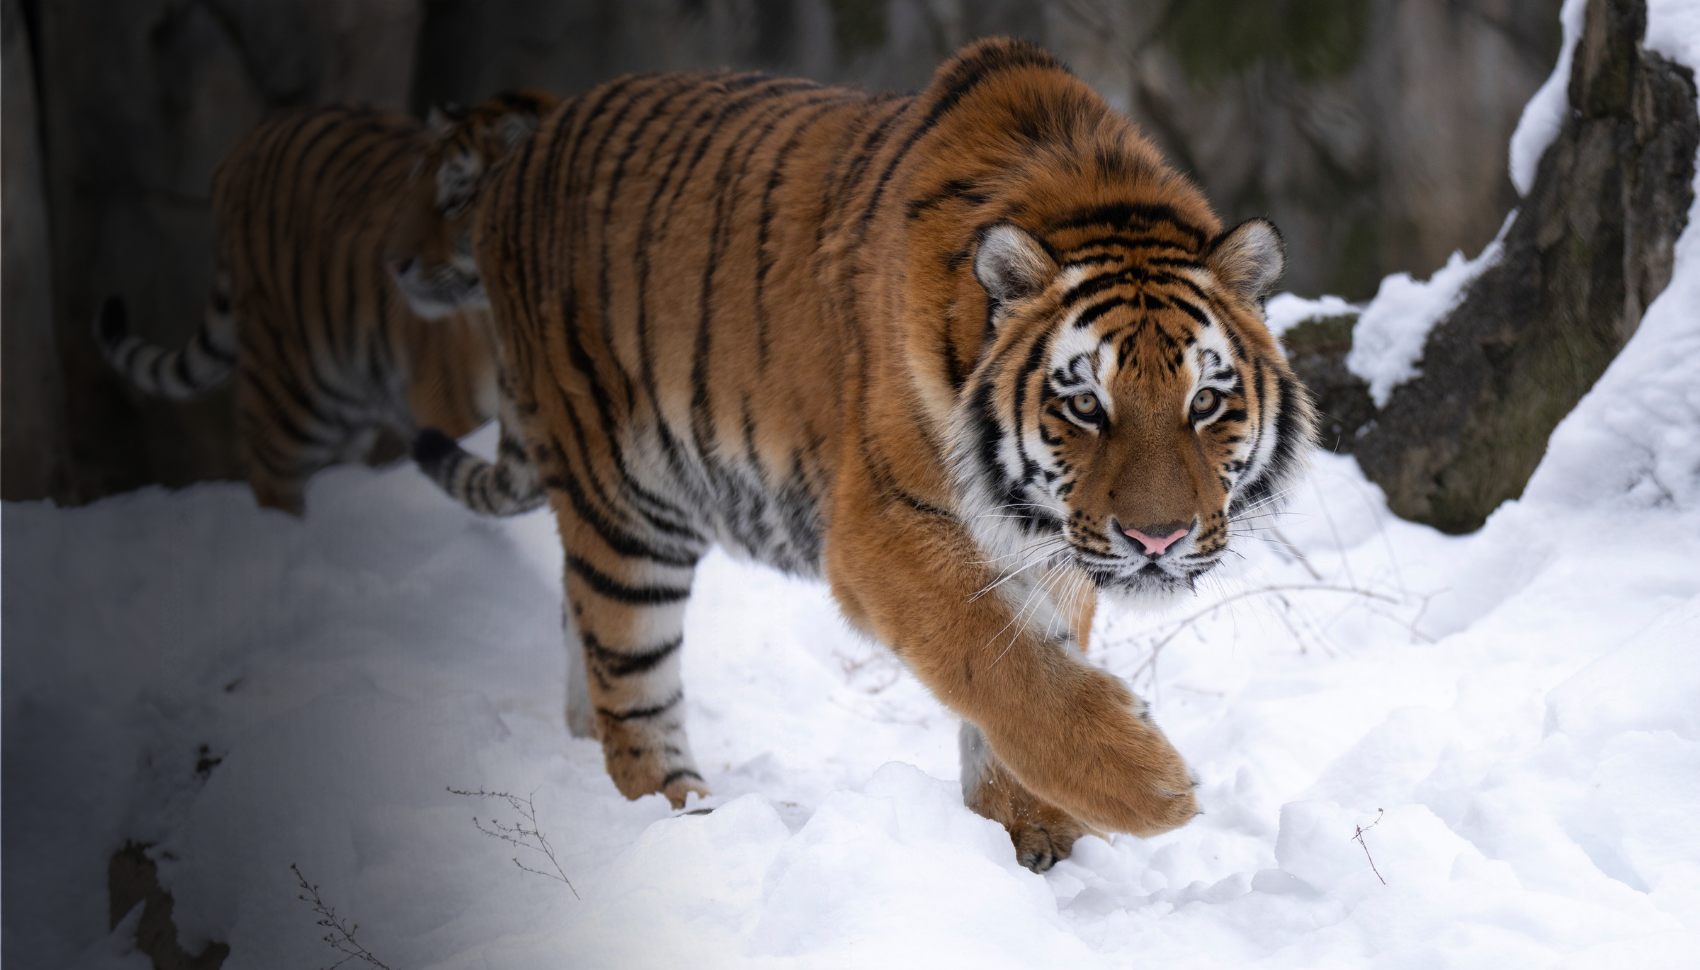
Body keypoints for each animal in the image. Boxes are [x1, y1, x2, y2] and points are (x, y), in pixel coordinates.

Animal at [94, 91, 557, 514]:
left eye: (456, 200)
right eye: (415, 192)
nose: (392, 264)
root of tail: (255, 134)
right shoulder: (450, 412)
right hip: (289, 399)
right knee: (274, 484)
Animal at [446, 39, 1314, 871]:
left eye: (1205, 403)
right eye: (1084, 406)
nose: (1156, 540)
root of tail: (523, 151)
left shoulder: (1047, 548)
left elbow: (1033, 658)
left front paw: (1027, 832)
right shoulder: (882, 528)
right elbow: (997, 654)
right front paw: (1146, 784)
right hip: (624, 499)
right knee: (629, 685)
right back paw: (682, 817)